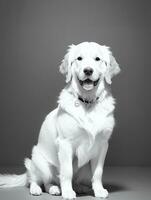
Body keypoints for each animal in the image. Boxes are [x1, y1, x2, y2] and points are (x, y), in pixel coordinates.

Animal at [0, 41, 120, 198]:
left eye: (97, 59)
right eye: (79, 58)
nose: (88, 71)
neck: (88, 103)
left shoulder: (102, 144)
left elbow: (98, 172)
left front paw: (99, 190)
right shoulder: (65, 143)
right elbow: (67, 172)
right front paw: (68, 192)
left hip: (84, 167)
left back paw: (78, 187)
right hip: (38, 161)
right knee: (39, 181)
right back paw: (44, 189)